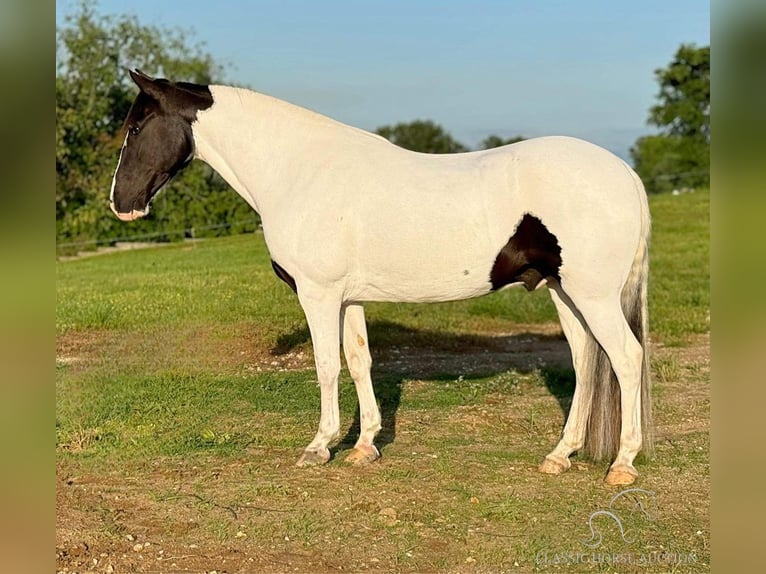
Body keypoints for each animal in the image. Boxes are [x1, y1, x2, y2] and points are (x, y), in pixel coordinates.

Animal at [111, 70, 656, 488]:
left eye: (136, 127)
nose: (121, 204)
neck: (299, 171)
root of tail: (623, 172)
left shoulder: (318, 295)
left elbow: (326, 366)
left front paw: (319, 446)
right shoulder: (347, 299)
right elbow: (358, 362)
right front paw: (365, 445)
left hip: (593, 295)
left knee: (626, 358)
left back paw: (623, 464)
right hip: (565, 293)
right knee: (587, 361)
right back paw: (560, 455)